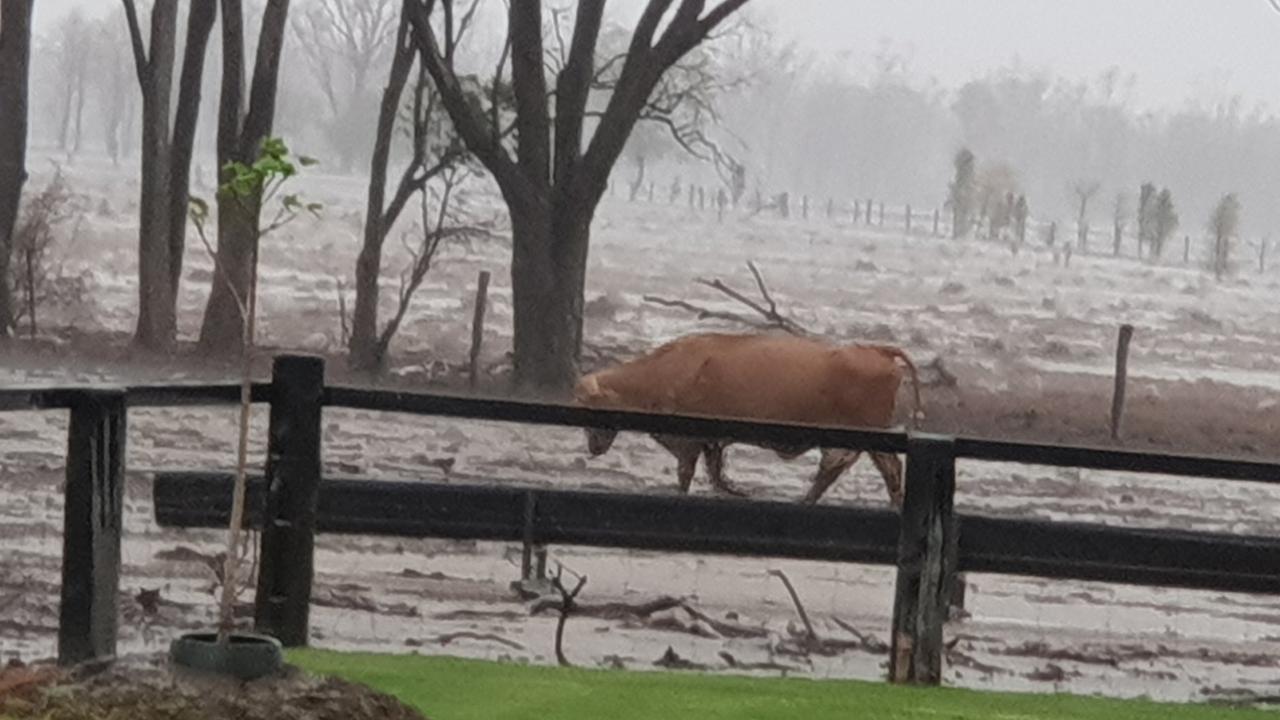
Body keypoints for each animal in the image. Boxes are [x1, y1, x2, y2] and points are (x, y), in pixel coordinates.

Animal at [573, 330, 921, 504]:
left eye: (591, 405)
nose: (593, 447)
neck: (663, 371)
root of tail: (876, 350)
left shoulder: (690, 440)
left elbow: (687, 473)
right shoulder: (711, 441)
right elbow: (715, 473)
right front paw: (736, 490)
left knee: (861, 469)